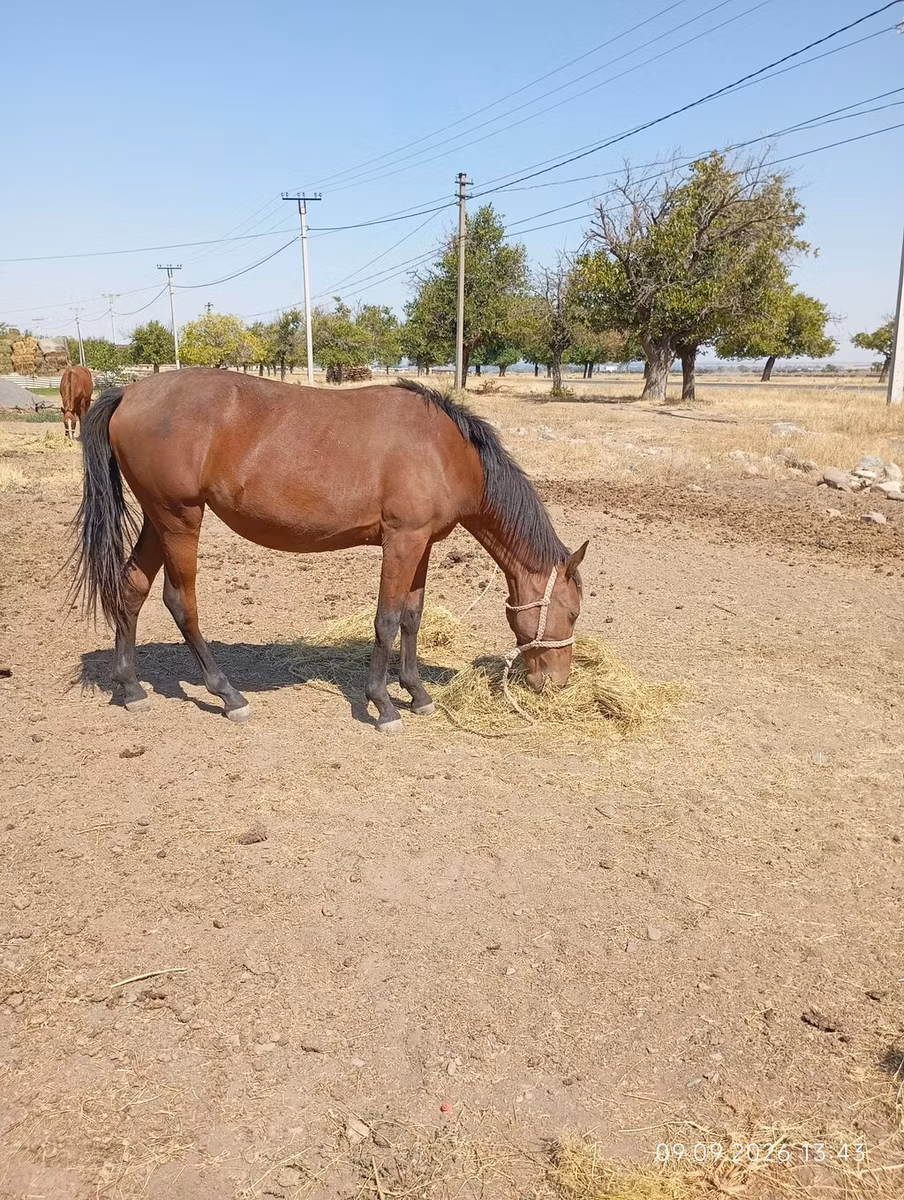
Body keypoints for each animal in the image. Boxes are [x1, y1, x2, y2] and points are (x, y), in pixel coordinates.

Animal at [72, 370, 587, 731]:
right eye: (573, 612)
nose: (557, 683)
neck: (444, 449)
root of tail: (129, 394)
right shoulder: (401, 542)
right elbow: (385, 620)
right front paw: (383, 705)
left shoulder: (421, 545)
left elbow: (411, 618)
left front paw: (417, 694)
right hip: (179, 519)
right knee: (181, 603)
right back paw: (228, 695)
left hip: (159, 520)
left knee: (131, 588)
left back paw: (131, 687)